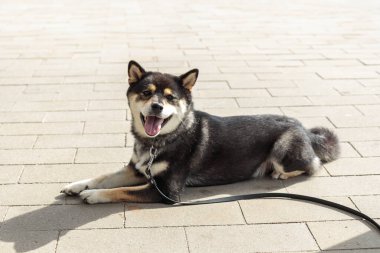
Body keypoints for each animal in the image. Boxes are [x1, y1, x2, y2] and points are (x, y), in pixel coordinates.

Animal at [60, 60, 340, 204]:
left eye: (171, 98)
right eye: (146, 92)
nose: (157, 106)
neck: (160, 142)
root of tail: (304, 128)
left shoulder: (167, 190)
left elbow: (119, 191)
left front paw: (93, 194)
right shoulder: (137, 169)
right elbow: (104, 176)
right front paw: (77, 185)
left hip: (284, 148)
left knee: (313, 163)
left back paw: (282, 173)